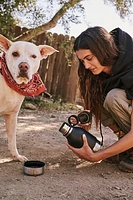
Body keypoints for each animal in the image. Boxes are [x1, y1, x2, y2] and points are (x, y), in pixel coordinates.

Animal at [0, 34, 58, 162]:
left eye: (34, 56)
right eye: (15, 54)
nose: (23, 66)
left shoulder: (12, 115)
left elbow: (12, 140)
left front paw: (16, 156)